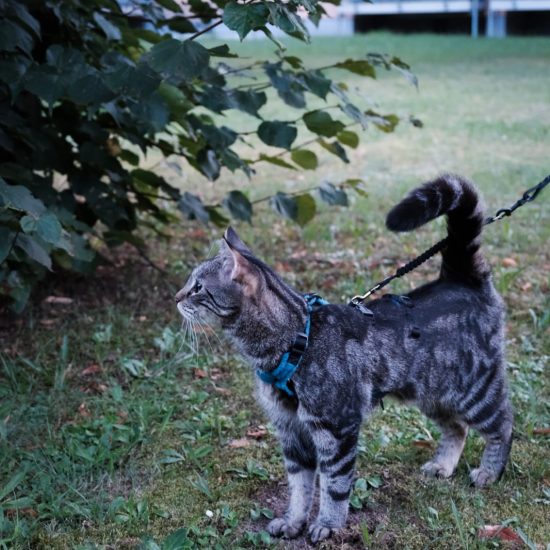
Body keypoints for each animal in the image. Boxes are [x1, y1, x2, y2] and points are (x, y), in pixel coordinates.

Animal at [178, 175, 516, 544]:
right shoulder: (291, 431)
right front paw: (293, 521)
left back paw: (489, 471)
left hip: (473, 389)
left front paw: (328, 524)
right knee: (457, 428)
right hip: (432, 394)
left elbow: (334, 485)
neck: (296, 339)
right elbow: (299, 488)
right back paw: (443, 465)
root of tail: (461, 278)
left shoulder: (336, 429)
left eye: (198, 287)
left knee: (502, 424)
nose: (177, 297)